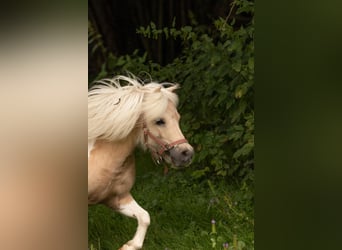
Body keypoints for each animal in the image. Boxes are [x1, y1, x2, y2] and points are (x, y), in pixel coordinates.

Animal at [87, 75, 194, 249]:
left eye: (178, 118)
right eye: (159, 121)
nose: (186, 154)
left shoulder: (117, 198)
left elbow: (145, 217)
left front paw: (129, 245)